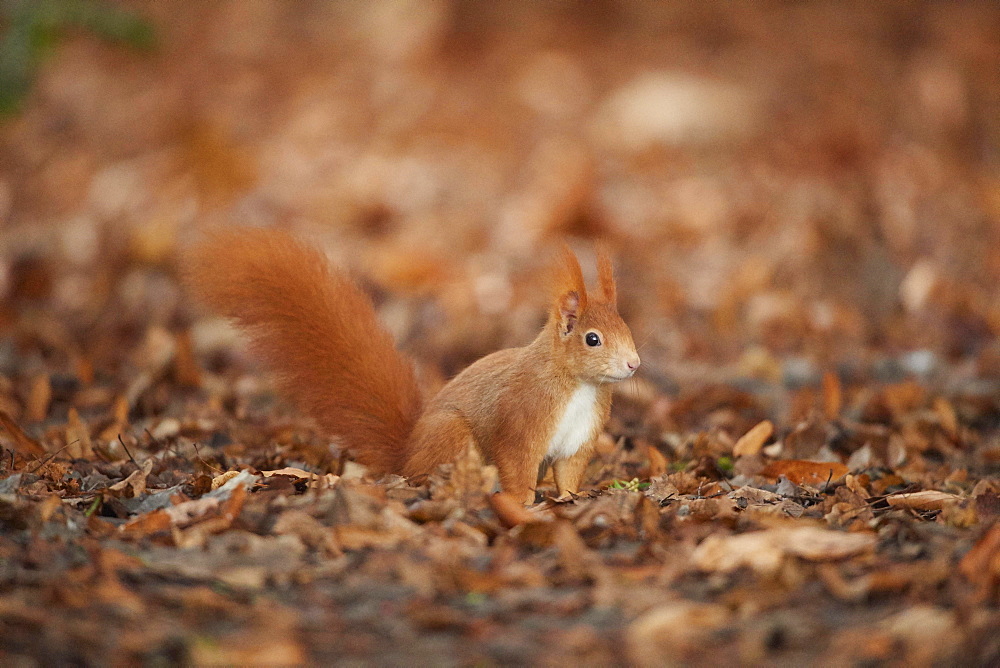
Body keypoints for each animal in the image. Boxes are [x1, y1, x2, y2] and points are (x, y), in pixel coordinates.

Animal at [186, 228, 640, 500]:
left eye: (626, 326)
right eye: (592, 339)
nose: (634, 364)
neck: (577, 385)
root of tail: (405, 455)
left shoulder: (580, 437)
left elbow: (569, 473)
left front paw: (571, 499)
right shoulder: (521, 419)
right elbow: (517, 466)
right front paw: (525, 504)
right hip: (452, 435)